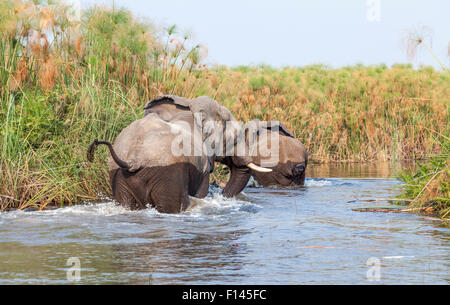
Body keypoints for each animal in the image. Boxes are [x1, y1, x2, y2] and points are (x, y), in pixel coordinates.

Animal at [87, 94, 270, 211]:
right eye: (235, 138)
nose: (221, 192)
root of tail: (133, 160)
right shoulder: (202, 167)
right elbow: (201, 191)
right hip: (167, 173)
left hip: (118, 176)